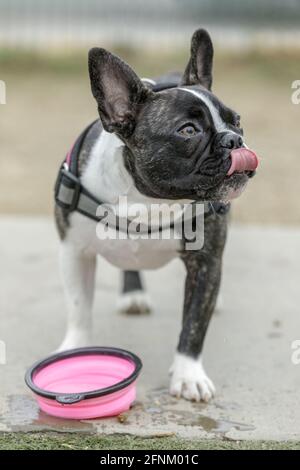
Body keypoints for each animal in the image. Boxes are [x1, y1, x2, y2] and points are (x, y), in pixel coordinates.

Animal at [54, 29, 258, 402]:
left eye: (237, 121)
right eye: (188, 130)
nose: (234, 139)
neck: (150, 199)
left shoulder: (205, 263)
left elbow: (194, 324)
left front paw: (188, 375)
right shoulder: (73, 251)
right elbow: (78, 307)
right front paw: (73, 349)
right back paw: (133, 294)